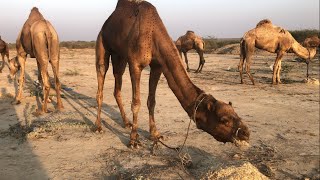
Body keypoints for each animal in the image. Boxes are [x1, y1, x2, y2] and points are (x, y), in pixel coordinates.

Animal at [95, 0, 250, 148]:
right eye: (224, 120)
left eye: (235, 113)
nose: (246, 133)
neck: (153, 33)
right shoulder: (135, 65)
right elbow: (136, 103)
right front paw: (133, 140)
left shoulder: (157, 66)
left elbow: (151, 101)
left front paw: (155, 134)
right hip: (102, 42)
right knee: (101, 79)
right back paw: (98, 126)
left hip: (119, 56)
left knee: (117, 84)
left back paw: (126, 122)